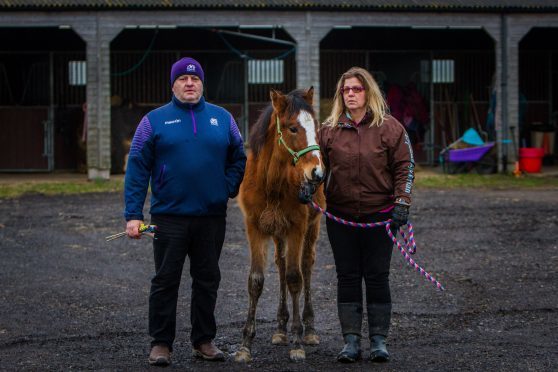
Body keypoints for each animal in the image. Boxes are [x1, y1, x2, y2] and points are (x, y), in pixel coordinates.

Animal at [234, 86, 326, 360]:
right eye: (292, 128)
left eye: (316, 126)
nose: (317, 173)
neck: (271, 183)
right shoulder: (254, 228)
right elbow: (256, 280)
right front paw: (245, 344)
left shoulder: (297, 227)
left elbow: (296, 278)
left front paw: (297, 341)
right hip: (277, 232)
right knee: (282, 265)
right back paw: (280, 328)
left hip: (312, 227)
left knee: (305, 266)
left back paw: (309, 329)